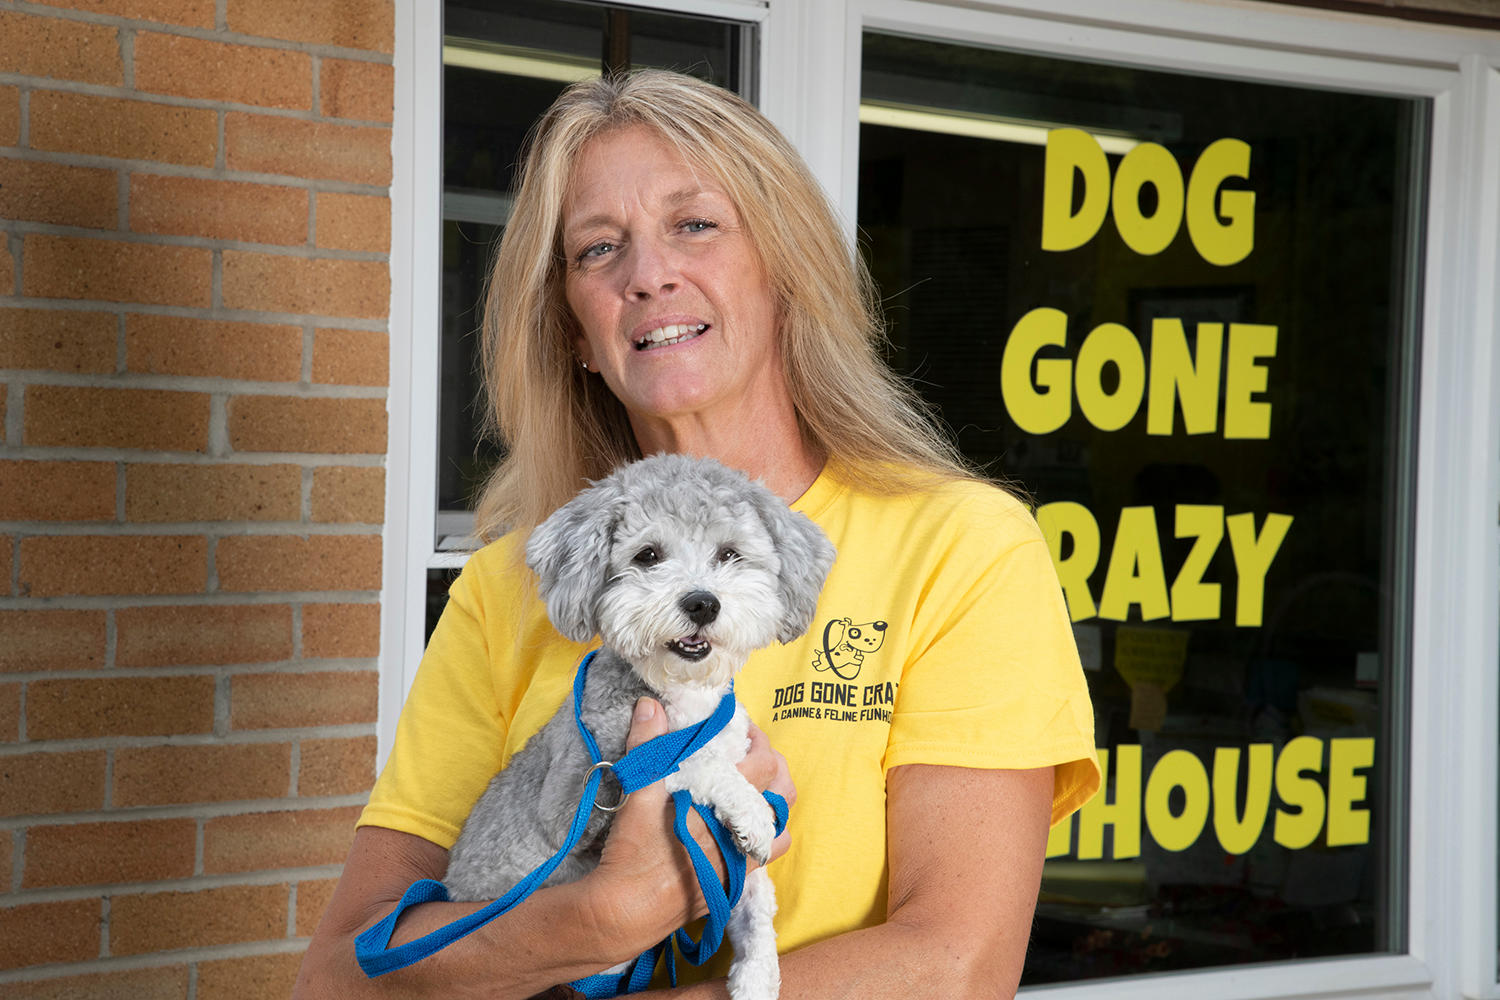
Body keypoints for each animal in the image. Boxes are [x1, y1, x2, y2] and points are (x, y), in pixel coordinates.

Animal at [444, 455, 840, 1000]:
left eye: (730, 554)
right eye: (648, 555)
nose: (702, 602)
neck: (682, 697)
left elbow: (754, 897)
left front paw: (758, 976)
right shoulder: (580, 797)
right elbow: (685, 765)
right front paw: (752, 810)